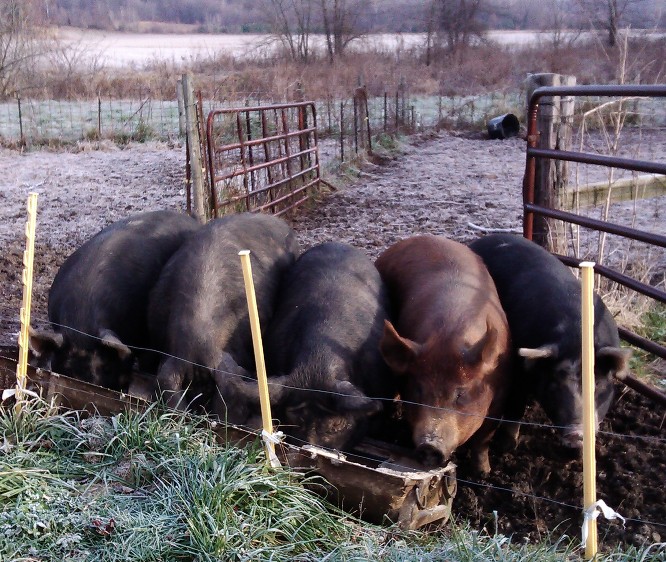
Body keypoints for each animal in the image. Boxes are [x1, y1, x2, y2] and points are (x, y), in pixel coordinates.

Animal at [375, 234, 511, 475]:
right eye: (418, 390)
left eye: (461, 394)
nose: (430, 445)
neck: (448, 337)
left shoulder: (501, 396)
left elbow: (483, 439)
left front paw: (483, 473)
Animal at [468, 233, 631, 449]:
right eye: (555, 383)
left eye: (596, 383)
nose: (577, 434)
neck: (576, 334)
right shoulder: (518, 372)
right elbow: (515, 406)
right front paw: (506, 445)